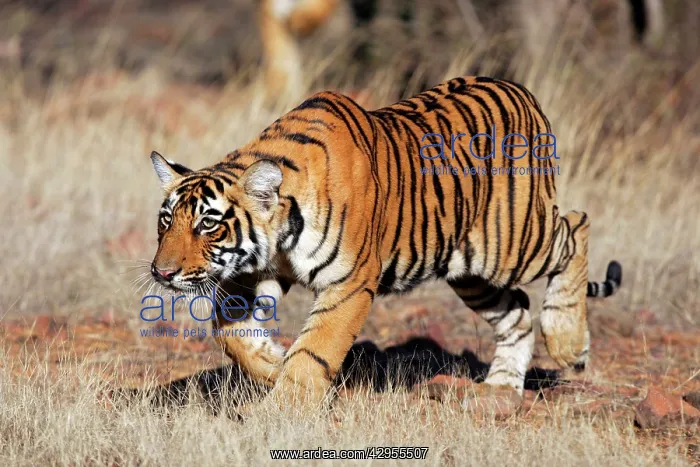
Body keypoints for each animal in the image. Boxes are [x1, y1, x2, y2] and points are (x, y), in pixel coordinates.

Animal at [148, 75, 622, 408]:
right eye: (166, 220)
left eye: (208, 224)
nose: (162, 272)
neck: (278, 236)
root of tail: (521, 89)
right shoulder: (250, 272)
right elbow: (229, 333)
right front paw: (271, 364)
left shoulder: (350, 282)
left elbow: (316, 349)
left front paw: (282, 411)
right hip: (469, 272)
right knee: (518, 313)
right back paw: (501, 391)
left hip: (512, 243)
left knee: (577, 225)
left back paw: (567, 343)